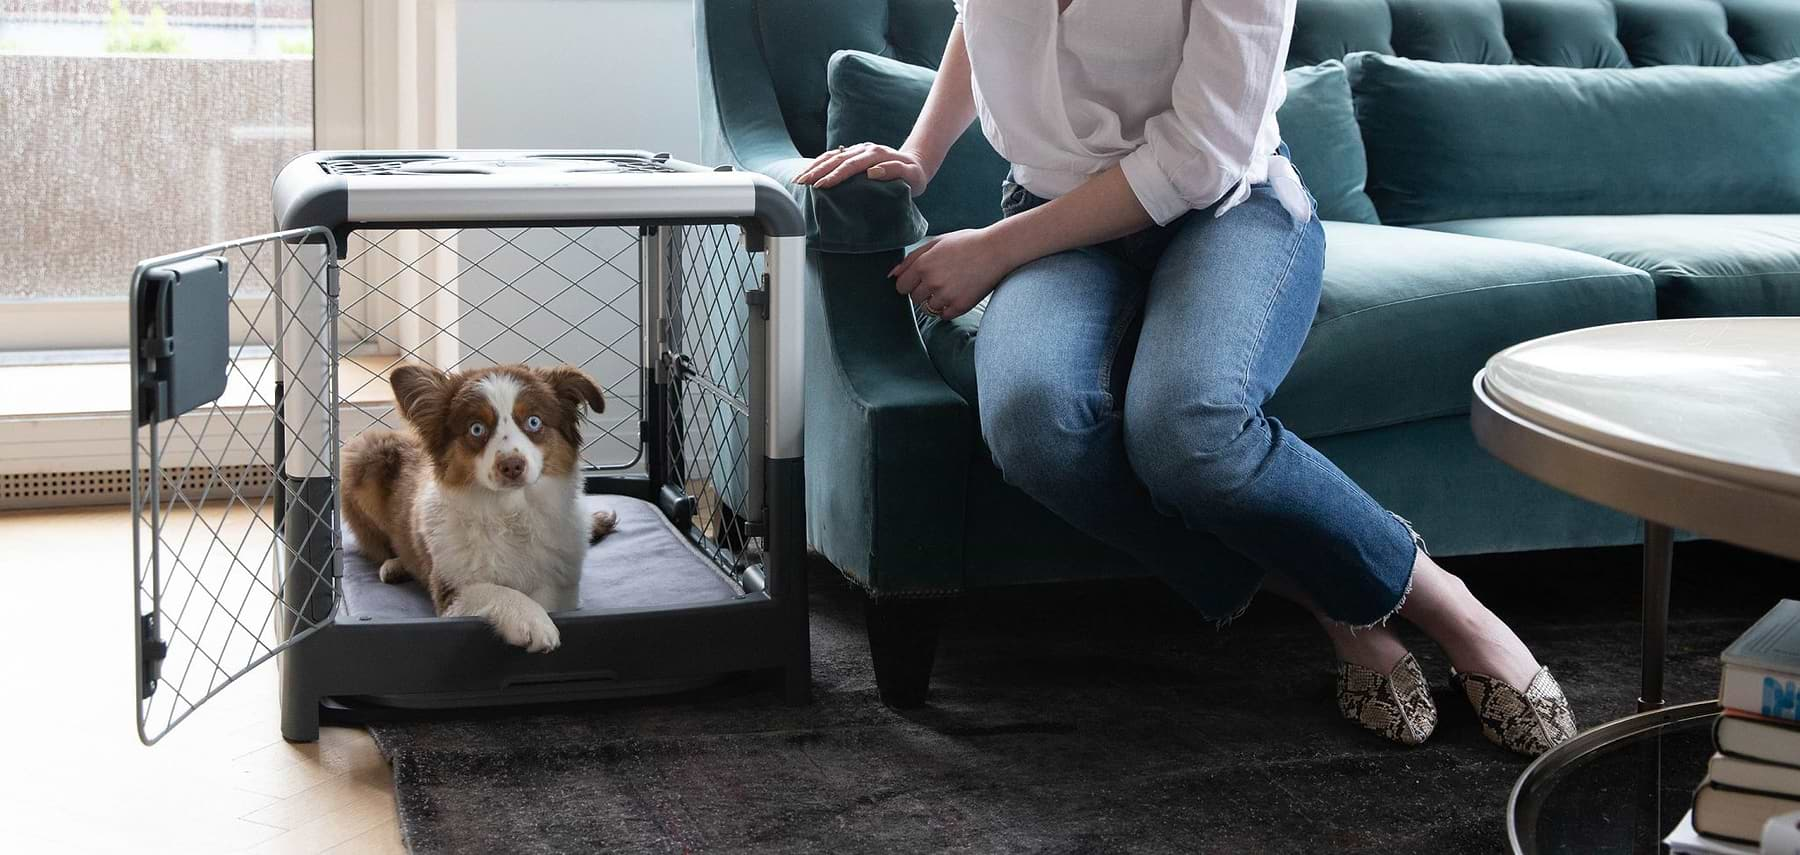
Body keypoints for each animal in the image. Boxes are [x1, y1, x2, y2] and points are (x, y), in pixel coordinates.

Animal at [338, 365, 619, 651]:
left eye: (534, 421)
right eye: (476, 428)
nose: (512, 466)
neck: (510, 513)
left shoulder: (563, 587)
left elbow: (549, 598)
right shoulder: (451, 591)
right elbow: (493, 590)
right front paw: (531, 619)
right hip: (362, 453)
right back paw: (395, 565)